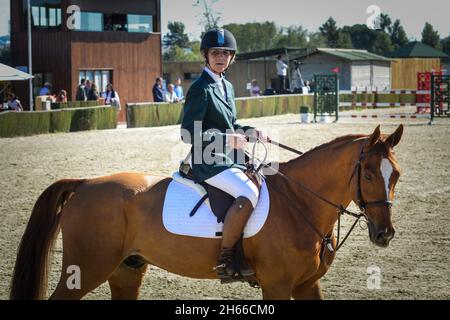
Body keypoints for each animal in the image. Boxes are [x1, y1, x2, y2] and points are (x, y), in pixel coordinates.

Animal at [9, 124, 404, 300]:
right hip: (86, 269)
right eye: (369, 174)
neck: (299, 202)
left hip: (126, 271)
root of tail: (86, 183)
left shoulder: (308, 284)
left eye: (396, 174)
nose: (384, 233)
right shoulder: (277, 284)